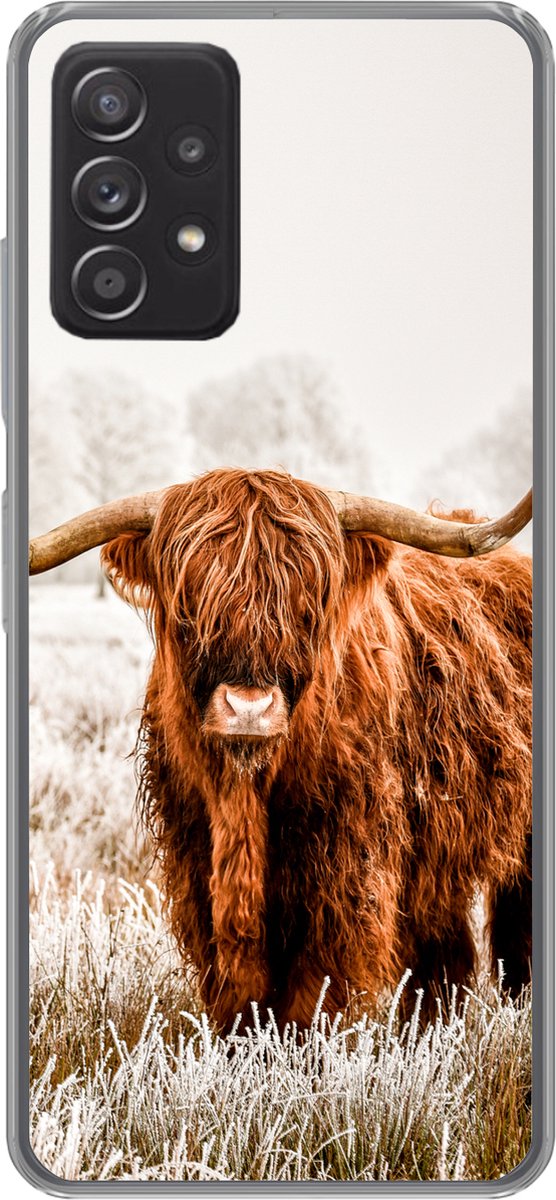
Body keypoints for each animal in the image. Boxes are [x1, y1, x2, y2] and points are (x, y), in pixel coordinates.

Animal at [29, 469, 533, 1032]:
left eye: (308, 603)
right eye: (188, 604)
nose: (249, 708)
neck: (245, 796)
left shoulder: (346, 868)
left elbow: (314, 990)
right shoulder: (196, 860)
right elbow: (237, 989)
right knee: (444, 947)